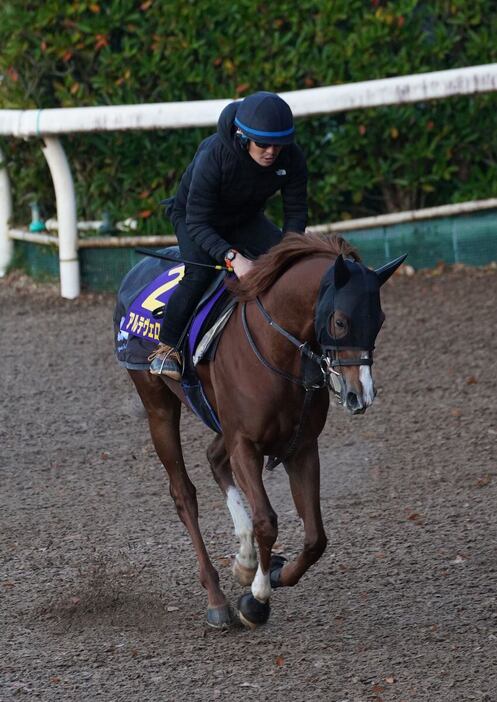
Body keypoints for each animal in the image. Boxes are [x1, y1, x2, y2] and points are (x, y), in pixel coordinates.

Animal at [119, 234, 404, 628]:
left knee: (214, 459)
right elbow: (267, 521)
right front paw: (257, 597)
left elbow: (316, 537)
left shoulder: (302, 447)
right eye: (340, 321)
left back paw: (245, 560)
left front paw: (272, 573)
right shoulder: (245, 443)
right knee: (183, 493)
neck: (278, 349)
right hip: (157, 404)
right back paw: (217, 598)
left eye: (379, 320)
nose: (360, 394)